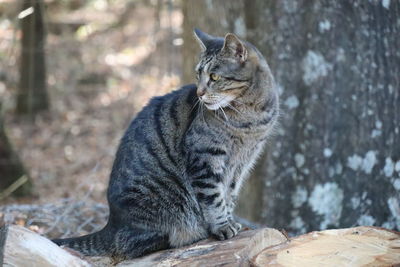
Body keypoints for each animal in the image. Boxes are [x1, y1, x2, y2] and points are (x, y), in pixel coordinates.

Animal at [52, 28, 278, 262]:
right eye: (198, 75)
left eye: (214, 77)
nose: (199, 93)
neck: (250, 117)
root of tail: (110, 224)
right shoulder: (205, 158)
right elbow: (213, 198)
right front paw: (222, 226)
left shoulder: (240, 165)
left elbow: (228, 196)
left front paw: (230, 219)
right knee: (128, 245)